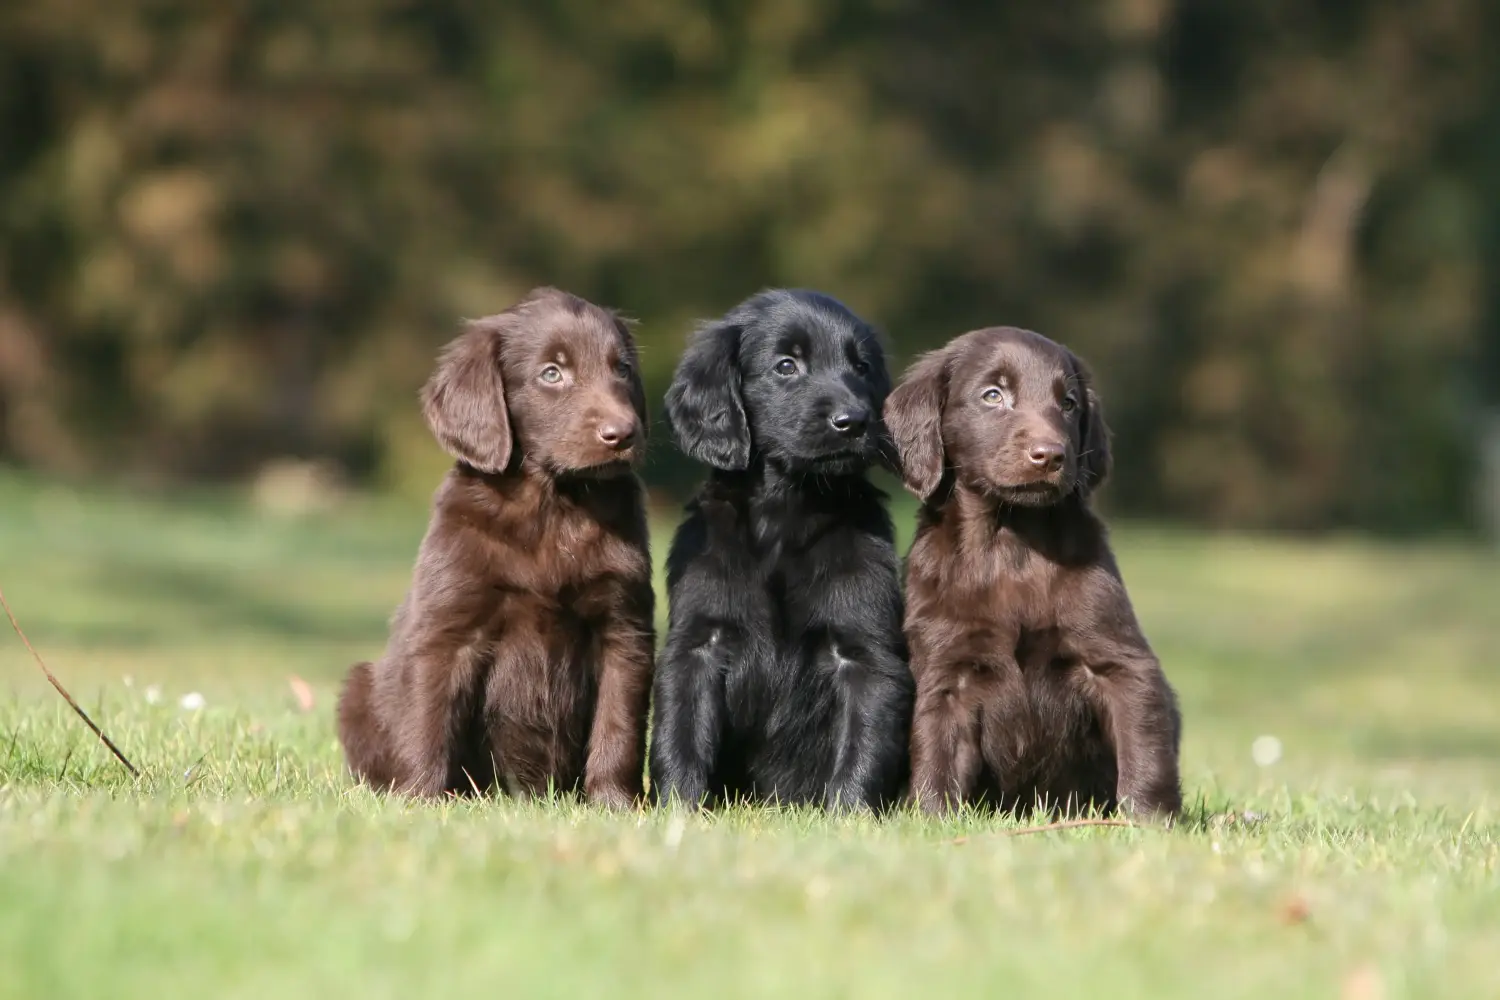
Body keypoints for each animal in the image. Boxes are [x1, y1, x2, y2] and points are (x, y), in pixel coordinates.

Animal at [340, 287, 657, 803]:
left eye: (622, 369)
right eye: (552, 373)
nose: (623, 434)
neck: (552, 505)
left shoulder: (623, 628)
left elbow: (619, 727)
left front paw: (615, 804)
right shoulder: (449, 631)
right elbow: (427, 721)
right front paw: (421, 800)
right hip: (357, 689)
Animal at [648, 289, 906, 815]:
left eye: (862, 367)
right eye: (786, 365)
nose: (854, 422)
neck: (785, 514)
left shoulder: (864, 652)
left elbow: (864, 741)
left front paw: (849, 819)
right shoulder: (697, 643)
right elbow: (678, 734)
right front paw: (677, 813)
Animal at [888, 328, 1182, 821]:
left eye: (1068, 403)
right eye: (993, 395)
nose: (1051, 456)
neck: (1013, 544)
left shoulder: (1120, 662)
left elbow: (1144, 746)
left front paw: (1149, 820)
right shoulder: (946, 671)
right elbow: (936, 752)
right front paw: (931, 819)